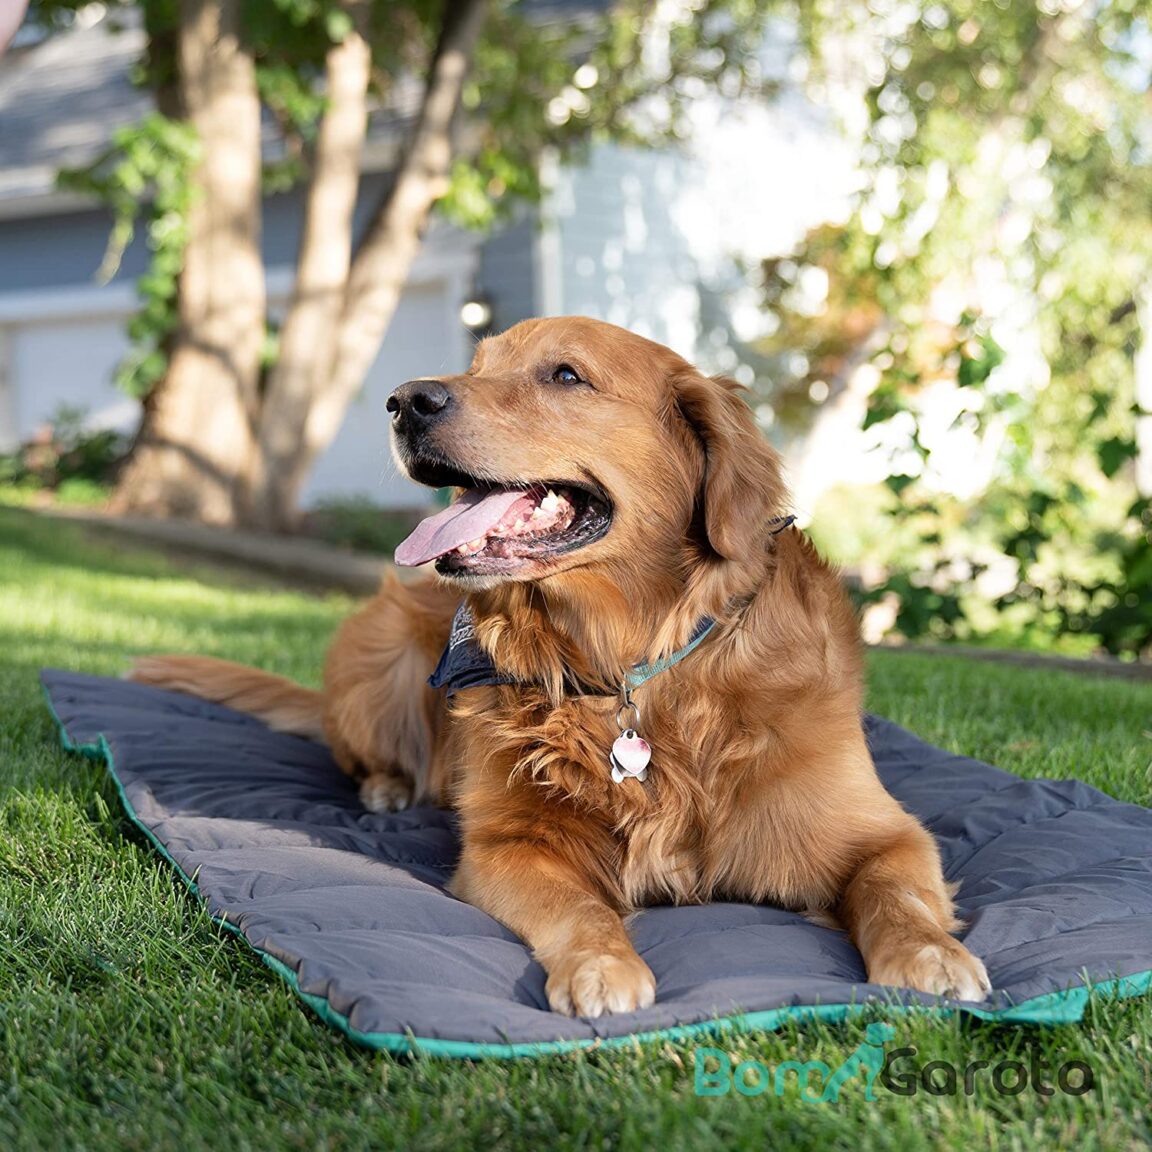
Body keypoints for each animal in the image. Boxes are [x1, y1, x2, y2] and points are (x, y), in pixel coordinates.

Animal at [132, 315, 990, 1018]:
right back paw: (386, 787)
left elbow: (895, 889)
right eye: (477, 365)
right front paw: (603, 966)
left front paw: (932, 956)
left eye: (566, 375)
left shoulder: (882, 832)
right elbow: (582, 909)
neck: (630, 670)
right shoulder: (508, 846)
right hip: (380, 644)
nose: (405, 401)